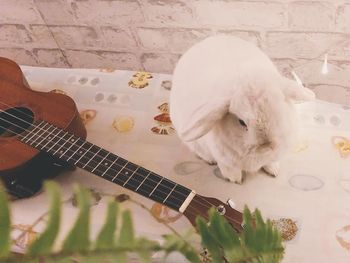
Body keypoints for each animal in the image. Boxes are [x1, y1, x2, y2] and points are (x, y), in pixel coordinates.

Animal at [170, 35, 314, 184]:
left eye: (280, 111)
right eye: (241, 122)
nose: (268, 146)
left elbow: (270, 162)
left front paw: (274, 170)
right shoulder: (223, 158)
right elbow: (228, 168)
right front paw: (235, 179)